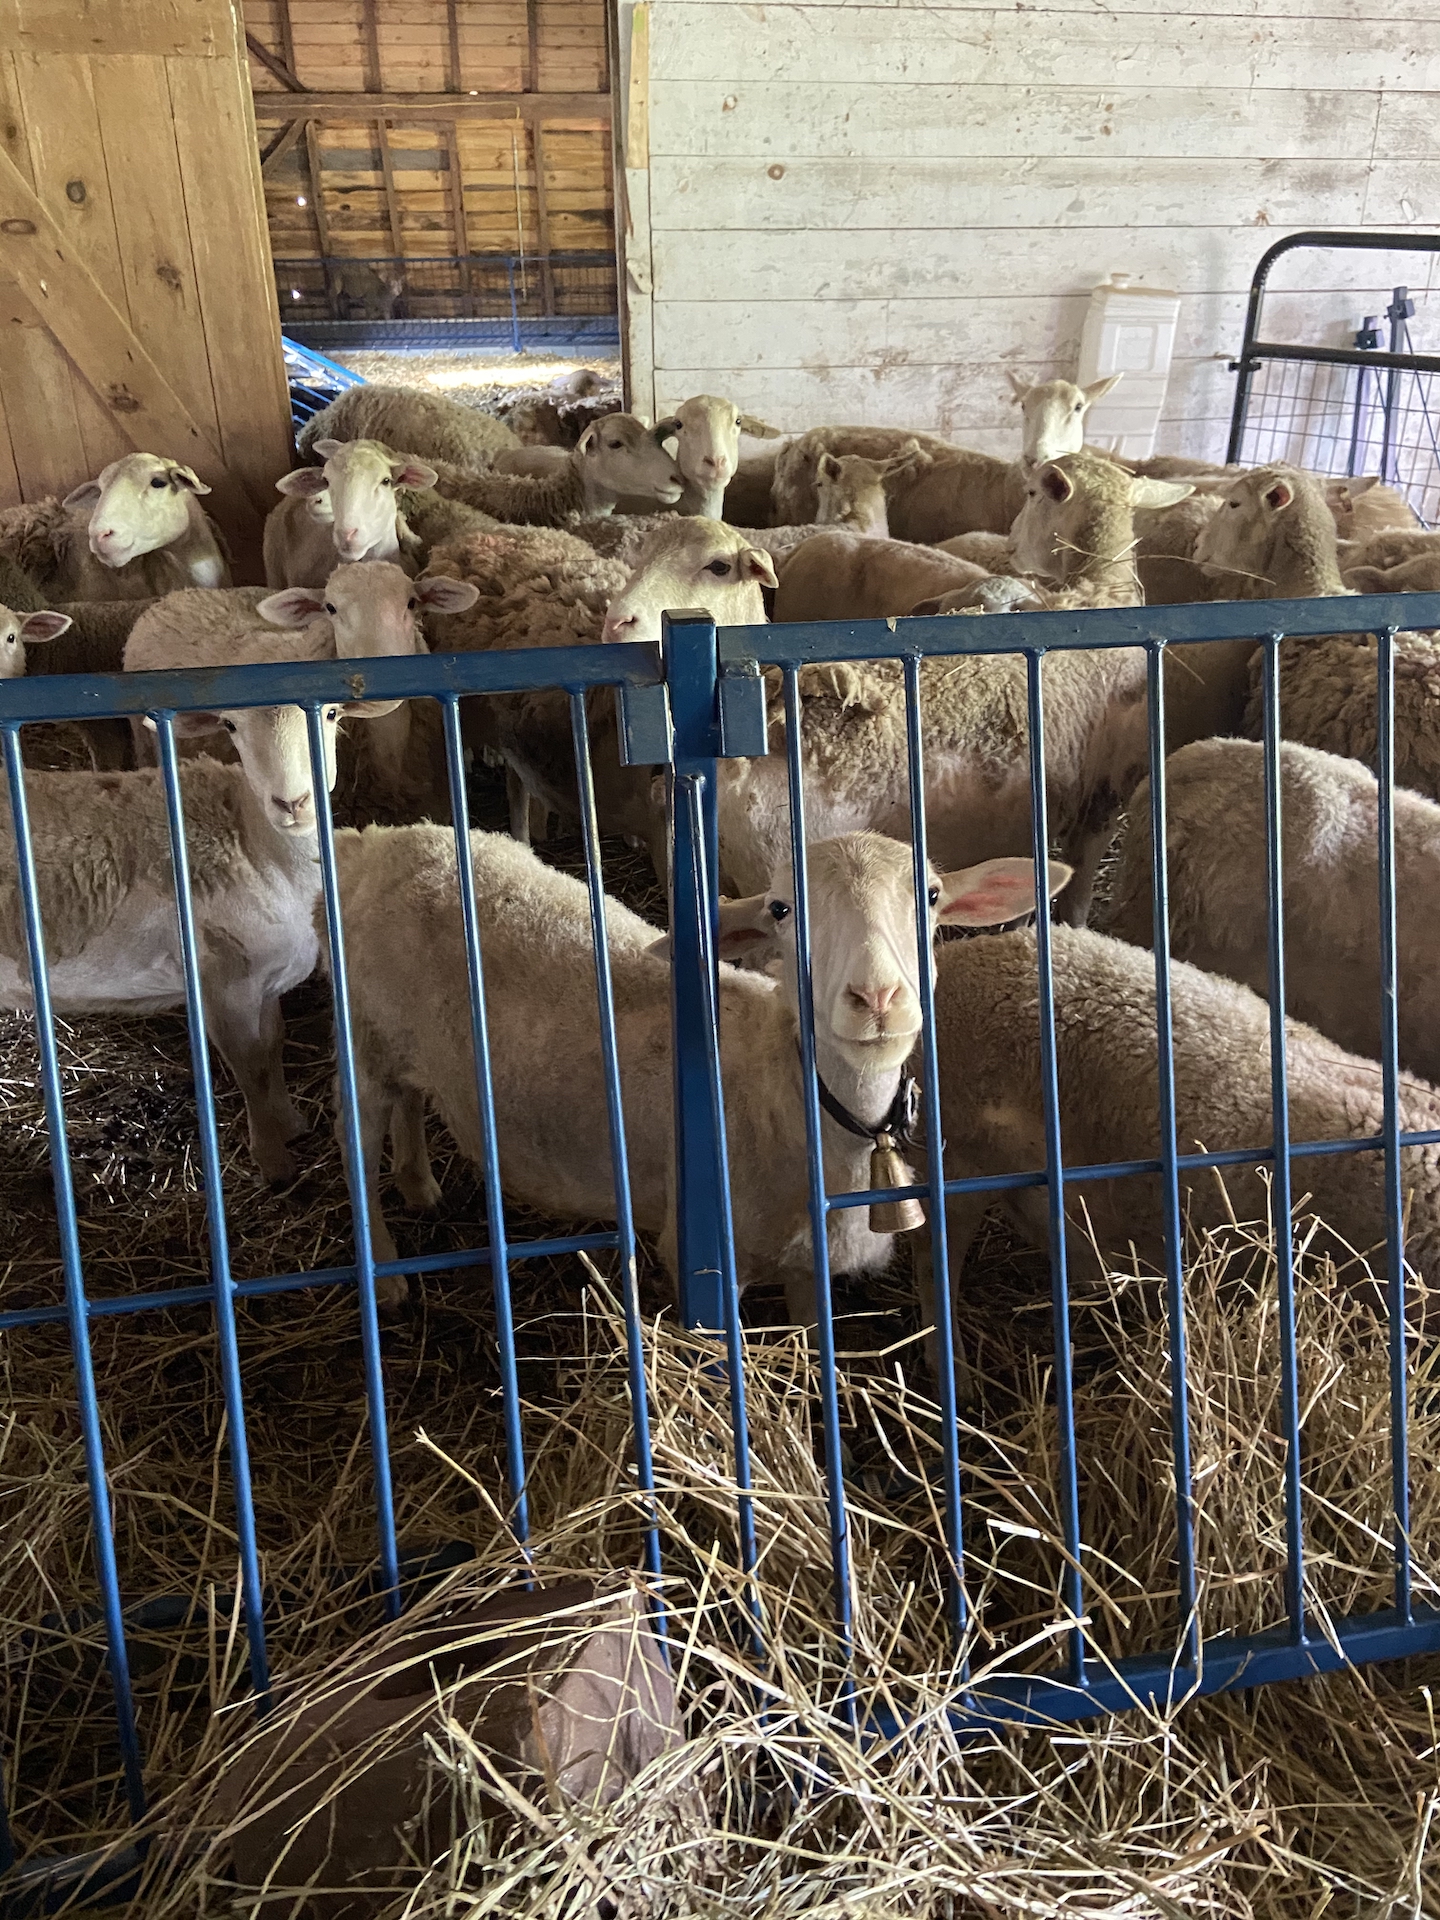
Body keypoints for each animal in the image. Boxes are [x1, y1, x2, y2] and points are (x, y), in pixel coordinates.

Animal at [0, 623, 401, 1184]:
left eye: (331, 714)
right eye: (230, 724)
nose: (292, 802)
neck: (254, 845)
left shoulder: (264, 975)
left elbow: (273, 1046)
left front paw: (291, 1125)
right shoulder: (220, 979)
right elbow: (251, 1066)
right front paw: (274, 1162)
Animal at [329, 822, 1065, 1316]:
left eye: (934, 896)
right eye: (780, 909)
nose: (879, 998)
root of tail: (374, 842)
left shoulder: (808, 1265)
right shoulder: (703, 1258)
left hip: (402, 1046)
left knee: (410, 1099)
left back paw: (419, 1183)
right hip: (360, 1039)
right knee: (355, 1143)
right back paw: (386, 1276)